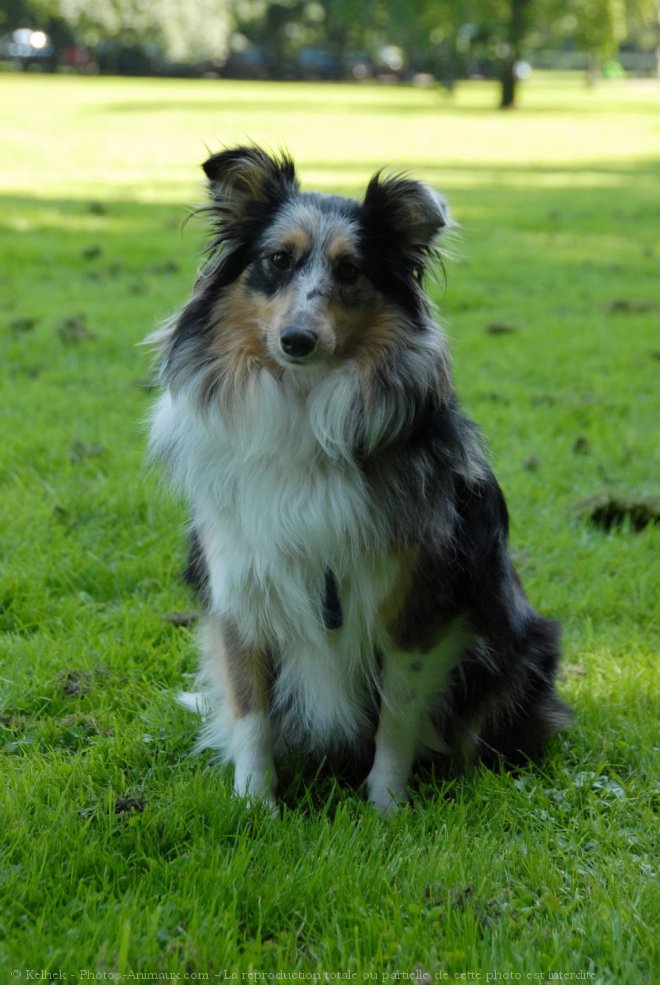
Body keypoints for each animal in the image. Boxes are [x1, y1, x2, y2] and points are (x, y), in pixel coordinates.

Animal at [147, 144, 568, 808]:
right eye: (277, 260)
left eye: (350, 271)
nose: (297, 340)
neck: (304, 407)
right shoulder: (241, 586)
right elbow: (250, 709)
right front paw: (255, 805)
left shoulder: (414, 602)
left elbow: (397, 717)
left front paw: (386, 809)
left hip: (523, 647)